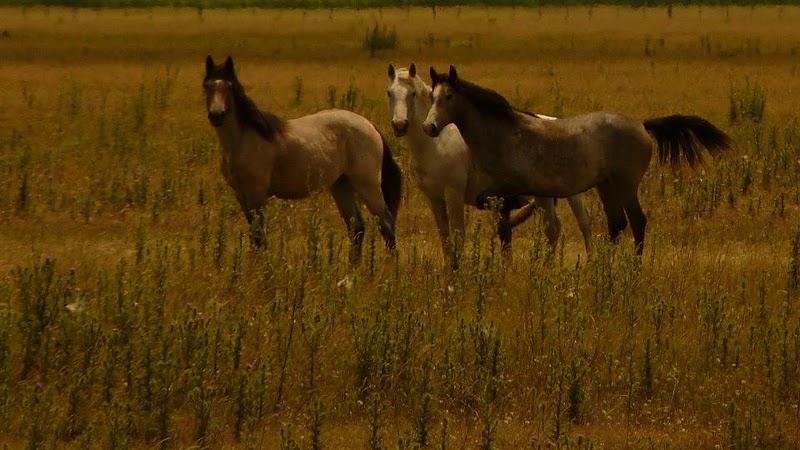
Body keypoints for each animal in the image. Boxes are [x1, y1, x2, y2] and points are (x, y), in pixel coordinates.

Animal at [388, 61, 592, 262]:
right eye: (390, 93)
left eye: (413, 94)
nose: (400, 125)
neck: (436, 145)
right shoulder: (434, 198)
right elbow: (445, 240)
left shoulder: (454, 195)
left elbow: (459, 237)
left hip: (560, 196)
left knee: (574, 226)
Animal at [424, 65, 732, 255]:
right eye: (431, 96)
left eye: (448, 96)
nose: (429, 127)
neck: (505, 134)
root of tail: (642, 126)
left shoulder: (516, 191)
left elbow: (510, 224)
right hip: (606, 186)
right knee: (616, 223)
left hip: (626, 186)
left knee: (637, 223)